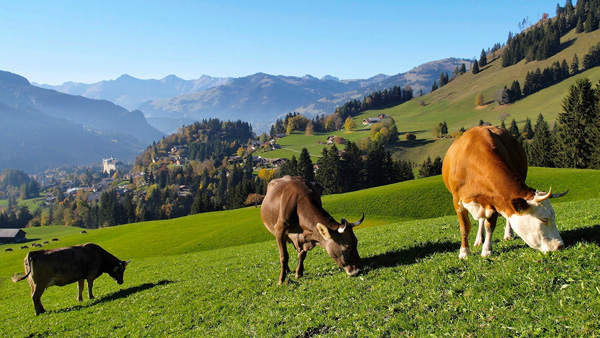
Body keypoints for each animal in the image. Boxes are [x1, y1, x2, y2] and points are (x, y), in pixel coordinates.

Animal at [440, 125, 568, 258]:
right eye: (544, 219)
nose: (560, 245)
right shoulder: (457, 200)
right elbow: (465, 227)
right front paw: (464, 252)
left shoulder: (495, 200)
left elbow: (490, 226)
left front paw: (487, 250)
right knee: (480, 220)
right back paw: (478, 240)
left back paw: (508, 234)